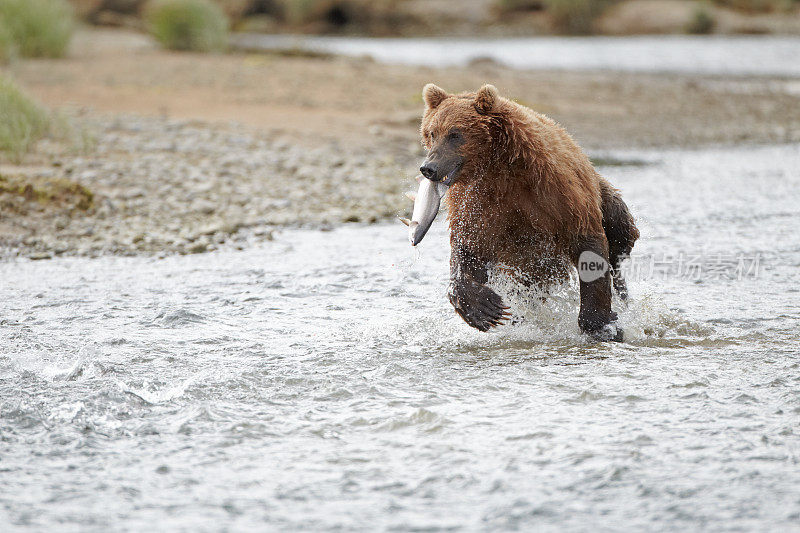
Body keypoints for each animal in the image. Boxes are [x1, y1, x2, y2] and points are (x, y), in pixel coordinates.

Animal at [418, 83, 636, 340]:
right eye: (432, 133)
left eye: (455, 134)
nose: (429, 167)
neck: (497, 167)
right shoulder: (476, 205)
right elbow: (469, 250)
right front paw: (485, 309)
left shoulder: (556, 193)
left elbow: (587, 242)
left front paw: (603, 326)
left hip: (602, 195)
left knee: (620, 234)